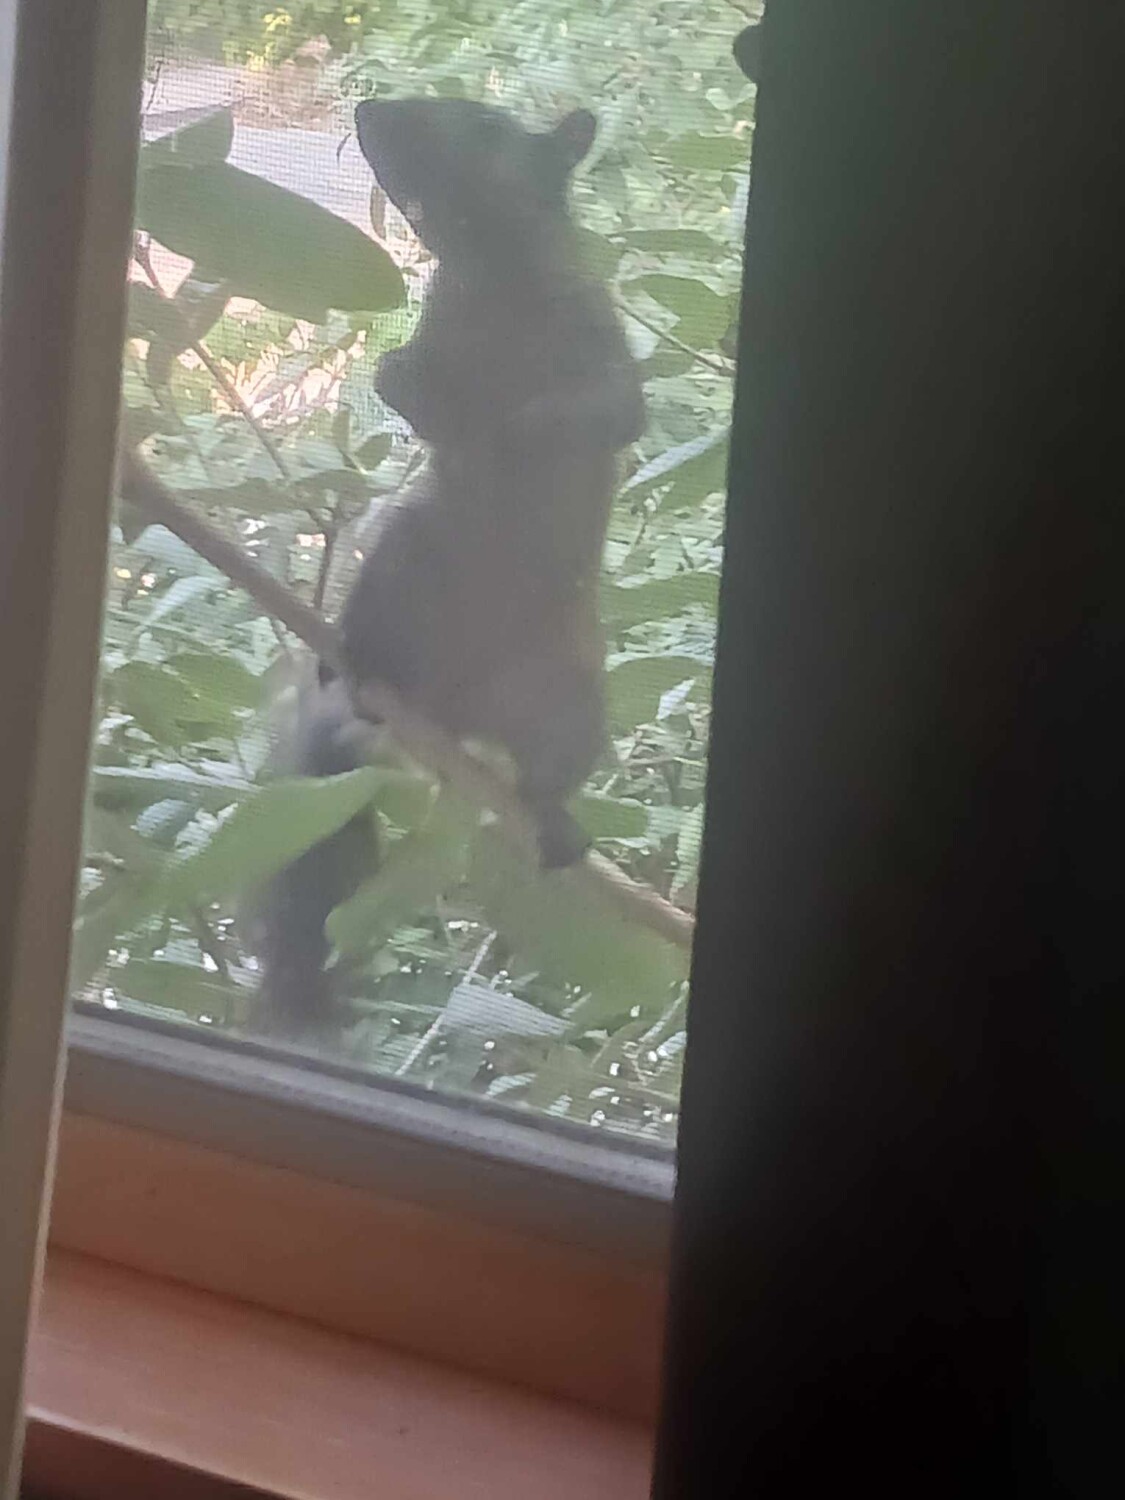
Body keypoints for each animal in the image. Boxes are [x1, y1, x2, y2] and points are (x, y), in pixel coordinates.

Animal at [253, 98, 644, 1031]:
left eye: (478, 120)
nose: (371, 112)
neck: (492, 273)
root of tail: (446, 714)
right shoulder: (442, 341)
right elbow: (415, 390)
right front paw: (414, 387)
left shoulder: (598, 340)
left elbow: (610, 410)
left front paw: (528, 427)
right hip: (404, 559)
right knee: (368, 632)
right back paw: (353, 661)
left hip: (568, 705)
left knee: (547, 775)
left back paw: (551, 820)